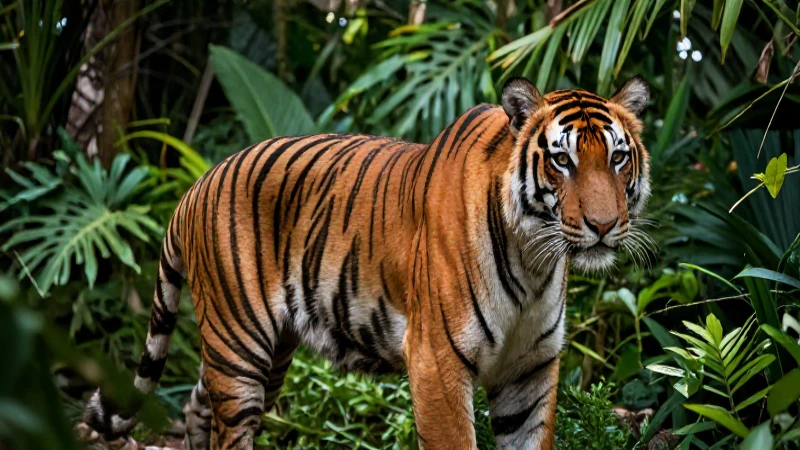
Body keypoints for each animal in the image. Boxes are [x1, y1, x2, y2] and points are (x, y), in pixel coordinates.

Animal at [83, 75, 652, 450]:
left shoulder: (530, 371)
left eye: (618, 157)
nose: (603, 225)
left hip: (261, 356)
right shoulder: (436, 363)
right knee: (227, 428)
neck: (534, 260)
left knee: (198, 405)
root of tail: (194, 187)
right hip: (238, 347)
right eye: (562, 160)